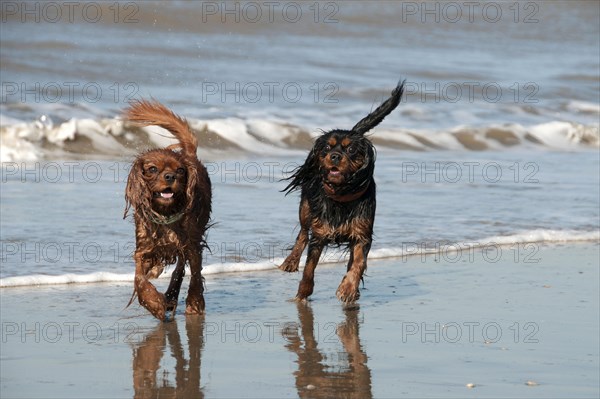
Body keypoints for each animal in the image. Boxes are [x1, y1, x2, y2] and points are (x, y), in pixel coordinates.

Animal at [123, 101, 212, 322]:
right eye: (153, 169)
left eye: (180, 170)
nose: (170, 176)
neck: (166, 213)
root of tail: (188, 154)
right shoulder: (144, 249)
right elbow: (139, 279)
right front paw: (154, 303)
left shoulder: (192, 244)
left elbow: (195, 275)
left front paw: (194, 304)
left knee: (180, 268)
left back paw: (172, 295)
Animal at [278, 81, 406, 304]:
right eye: (326, 148)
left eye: (351, 149)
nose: (335, 156)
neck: (342, 194)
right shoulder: (319, 234)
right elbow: (309, 267)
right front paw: (303, 293)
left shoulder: (362, 234)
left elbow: (359, 263)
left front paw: (348, 288)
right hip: (305, 208)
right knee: (302, 233)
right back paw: (291, 261)